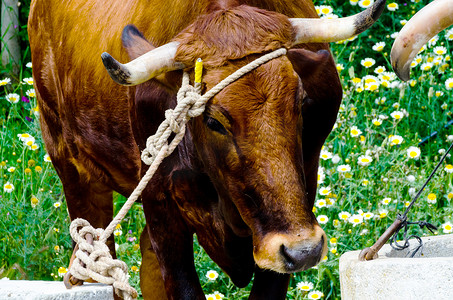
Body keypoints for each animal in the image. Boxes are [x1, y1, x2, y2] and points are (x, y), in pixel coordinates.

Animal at [27, 1, 382, 298]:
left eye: (301, 104)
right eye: (214, 121)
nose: (304, 249)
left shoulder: (305, 184)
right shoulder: (160, 205)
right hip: (69, 162)